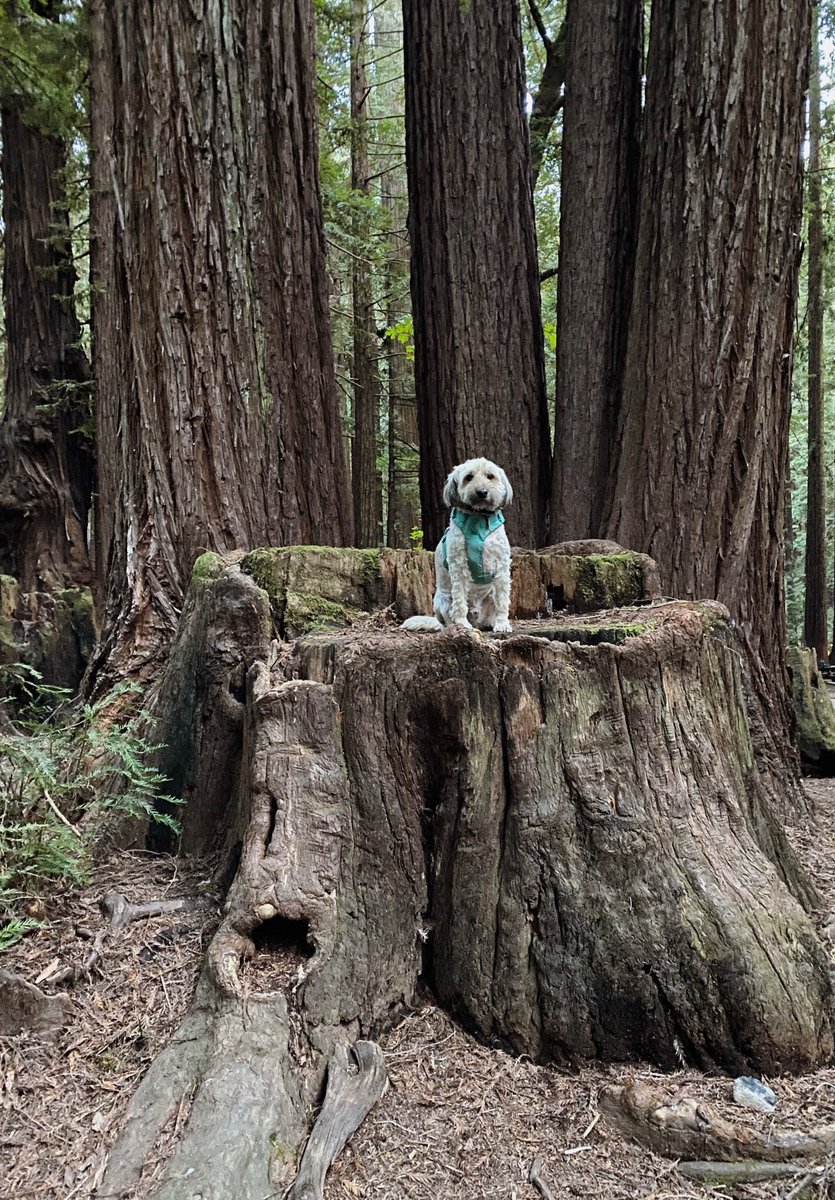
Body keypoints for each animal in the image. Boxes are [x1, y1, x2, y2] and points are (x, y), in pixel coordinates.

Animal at [400, 453, 511, 633]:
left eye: (490, 476)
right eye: (469, 477)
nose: (482, 492)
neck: (478, 517)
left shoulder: (501, 565)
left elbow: (502, 599)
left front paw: (502, 624)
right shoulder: (459, 566)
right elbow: (460, 599)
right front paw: (462, 623)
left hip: (489, 595)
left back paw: (491, 623)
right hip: (443, 600)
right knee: (448, 617)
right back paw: (456, 626)